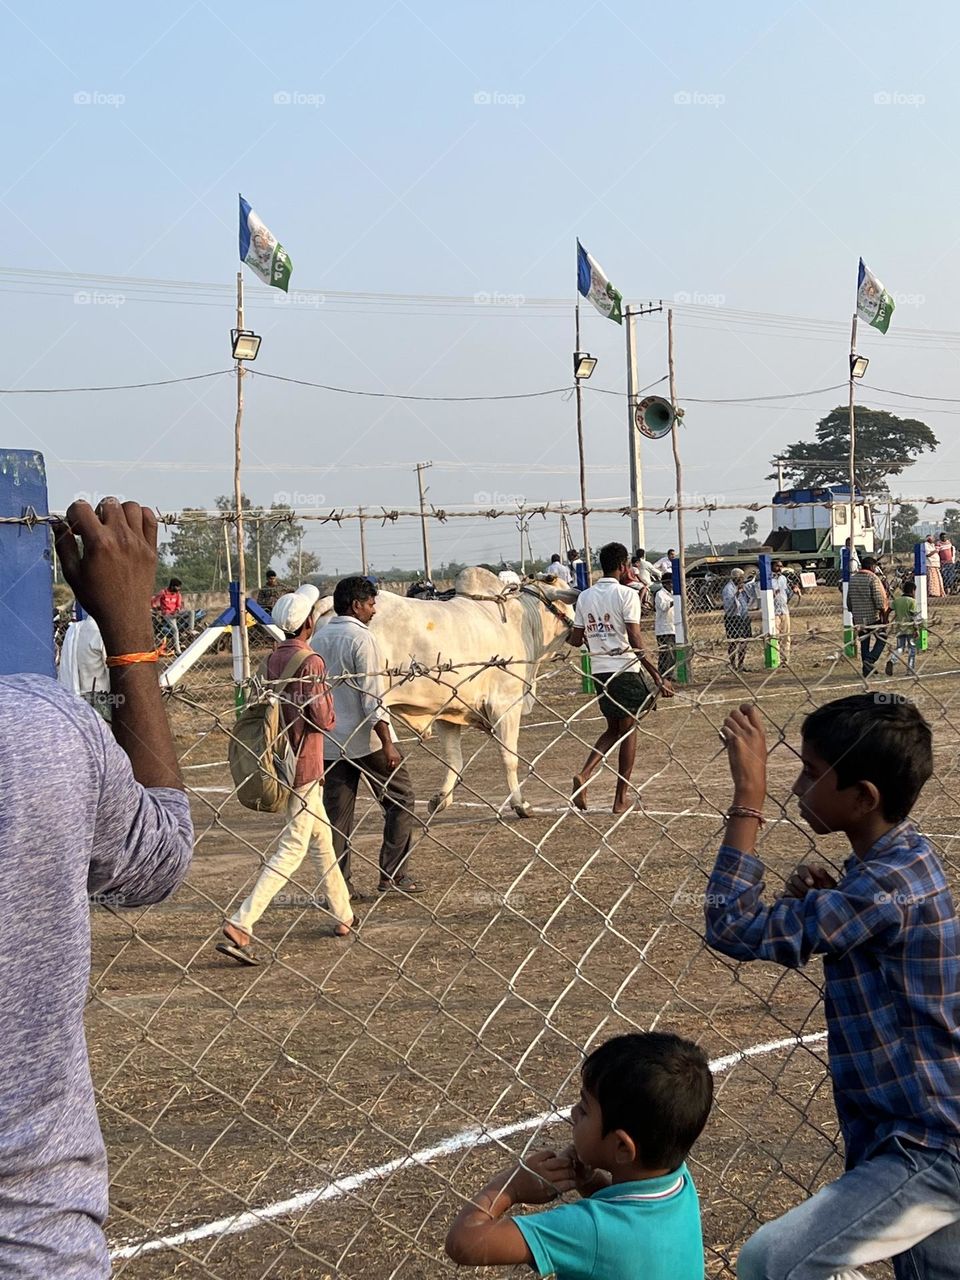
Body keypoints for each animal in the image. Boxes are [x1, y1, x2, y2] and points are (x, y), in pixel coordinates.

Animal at [313, 573, 578, 819]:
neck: (520, 619)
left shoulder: (447, 712)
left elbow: (454, 758)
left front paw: (441, 799)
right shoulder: (505, 704)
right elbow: (509, 756)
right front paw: (520, 804)